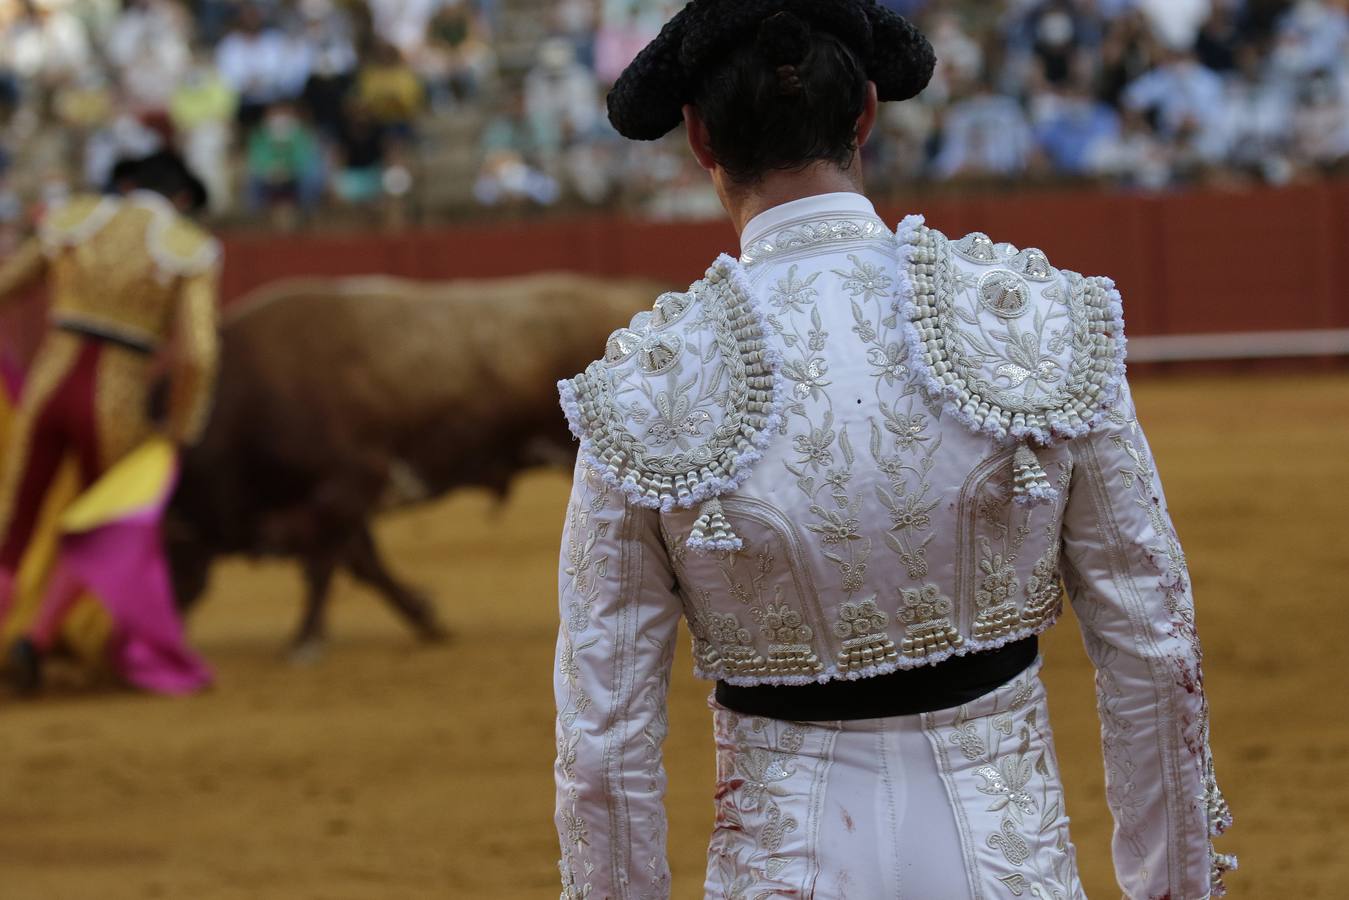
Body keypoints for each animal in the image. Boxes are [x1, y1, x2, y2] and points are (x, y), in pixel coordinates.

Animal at [167, 271, 652, 650]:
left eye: (165, 544)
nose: (166, 639)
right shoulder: (347, 502)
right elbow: (365, 564)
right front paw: (425, 615)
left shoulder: (346, 486)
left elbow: (325, 565)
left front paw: (305, 638)